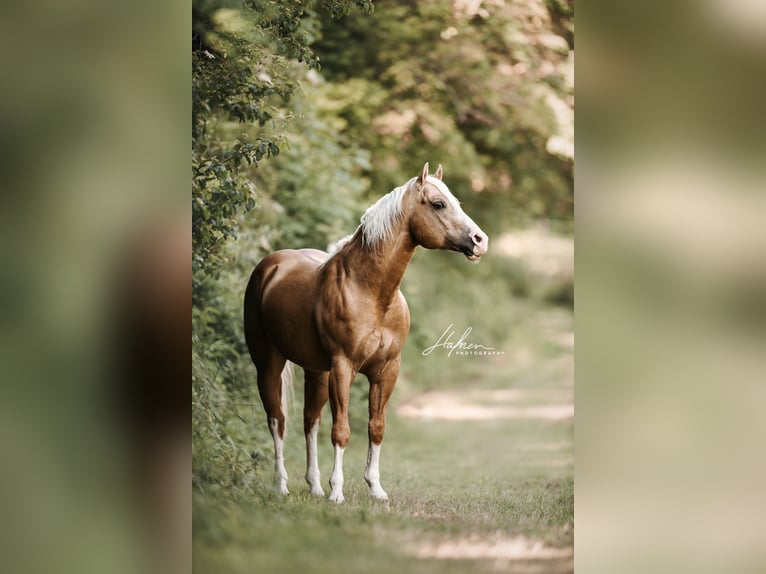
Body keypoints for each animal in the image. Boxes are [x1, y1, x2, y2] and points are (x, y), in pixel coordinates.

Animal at [244, 163, 488, 503]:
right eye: (439, 204)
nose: (480, 240)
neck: (371, 292)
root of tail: (270, 265)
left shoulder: (386, 370)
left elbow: (376, 427)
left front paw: (375, 488)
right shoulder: (343, 367)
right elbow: (341, 431)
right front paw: (337, 492)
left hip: (315, 371)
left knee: (310, 421)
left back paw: (314, 486)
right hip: (268, 363)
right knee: (277, 420)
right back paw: (282, 486)